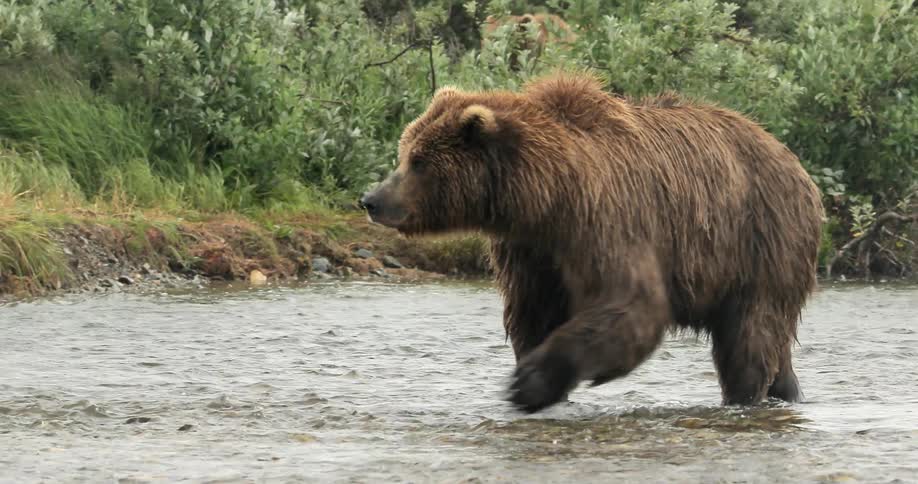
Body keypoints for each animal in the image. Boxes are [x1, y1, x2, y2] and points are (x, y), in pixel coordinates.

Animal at [359, 72, 824, 413]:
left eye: (417, 161)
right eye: (405, 152)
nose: (372, 199)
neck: (547, 195)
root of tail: (796, 163)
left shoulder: (605, 220)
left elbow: (631, 304)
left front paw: (529, 382)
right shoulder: (532, 251)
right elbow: (534, 314)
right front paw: (540, 381)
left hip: (760, 241)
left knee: (749, 337)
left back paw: (744, 397)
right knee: (774, 343)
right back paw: (788, 392)